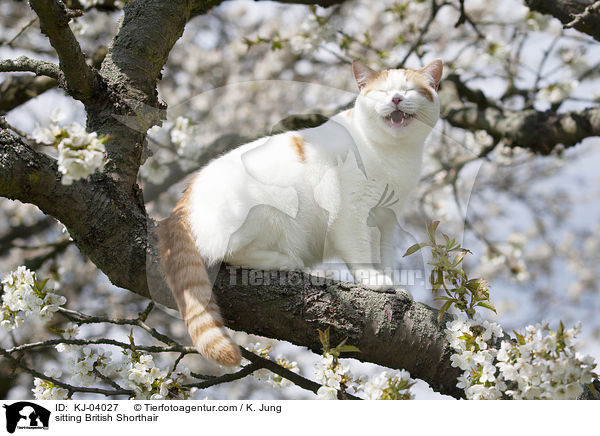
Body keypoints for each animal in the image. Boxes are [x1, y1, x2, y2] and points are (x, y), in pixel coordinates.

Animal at [157, 59, 442, 366]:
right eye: (383, 92)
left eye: (409, 90)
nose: (396, 99)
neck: (392, 153)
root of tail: (184, 200)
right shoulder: (351, 213)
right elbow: (360, 254)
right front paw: (373, 281)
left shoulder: (386, 221)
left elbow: (384, 256)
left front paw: (393, 285)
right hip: (272, 206)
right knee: (230, 254)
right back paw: (286, 261)